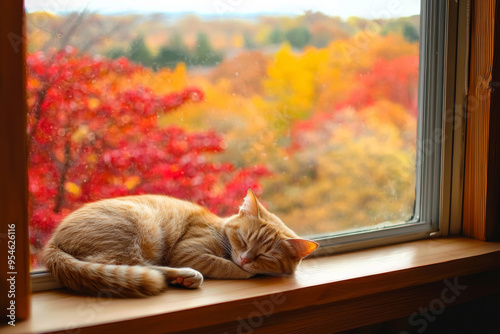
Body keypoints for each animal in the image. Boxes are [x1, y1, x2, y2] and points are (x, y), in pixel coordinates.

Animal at [42, 189, 316, 296]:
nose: (246, 259)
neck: (221, 230)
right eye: (242, 239)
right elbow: (230, 267)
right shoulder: (187, 252)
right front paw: (242, 269)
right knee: (131, 265)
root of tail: (52, 242)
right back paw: (185, 275)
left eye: (266, 255)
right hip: (140, 226)